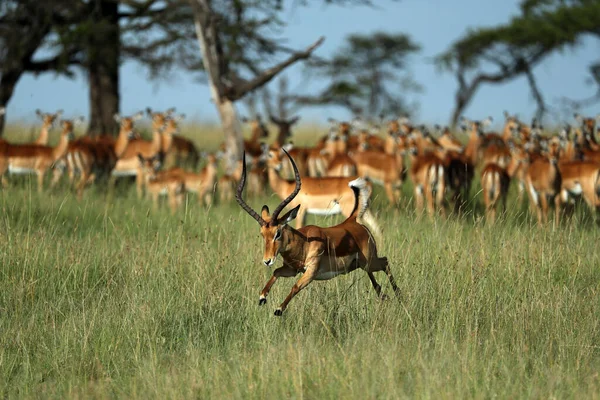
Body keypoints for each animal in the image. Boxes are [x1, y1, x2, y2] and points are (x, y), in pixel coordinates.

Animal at [234, 148, 398, 318]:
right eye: (262, 234)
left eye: (277, 233)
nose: (267, 260)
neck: (303, 243)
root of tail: (350, 222)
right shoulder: (292, 269)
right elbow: (276, 271)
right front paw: (262, 297)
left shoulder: (311, 272)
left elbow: (295, 287)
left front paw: (278, 309)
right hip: (362, 265)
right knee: (376, 275)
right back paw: (383, 295)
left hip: (369, 261)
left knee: (385, 261)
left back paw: (399, 297)